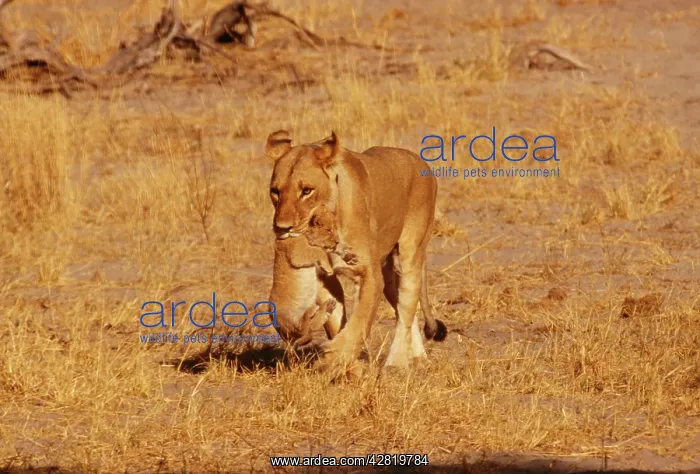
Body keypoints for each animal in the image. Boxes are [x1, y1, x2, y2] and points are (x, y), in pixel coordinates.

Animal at [266, 129, 447, 373]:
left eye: (306, 191)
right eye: (275, 191)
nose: (282, 228)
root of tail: (421, 162)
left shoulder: (369, 274)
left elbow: (360, 322)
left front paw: (335, 358)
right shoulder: (325, 277)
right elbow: (336, 320)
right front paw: (348, 367)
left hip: (411, 254)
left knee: (407, 307)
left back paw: (397, 362)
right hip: (390, 277)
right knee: (404, 310)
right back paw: (417, 356)